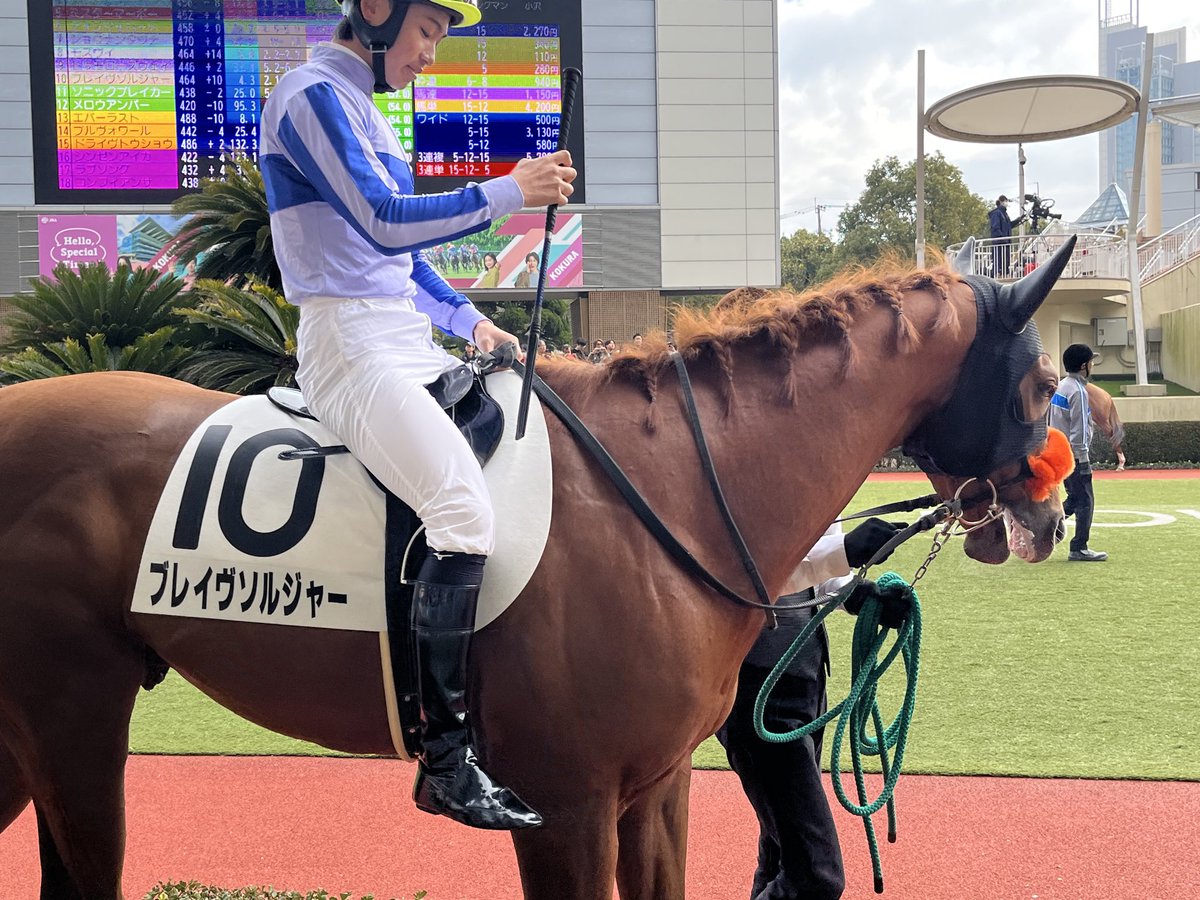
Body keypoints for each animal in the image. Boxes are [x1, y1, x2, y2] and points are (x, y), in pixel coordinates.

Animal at [0, 242, 1076, 900]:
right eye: (1037, 384)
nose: (1047, 516)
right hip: (72, 714)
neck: (668, 491)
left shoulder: (655, 791)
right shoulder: (566, 807)